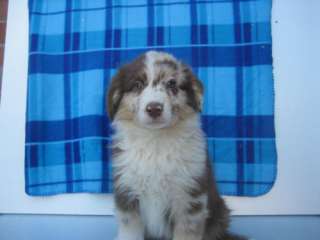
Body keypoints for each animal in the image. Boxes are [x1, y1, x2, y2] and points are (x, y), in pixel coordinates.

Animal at [107, 51, 245, 240]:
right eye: (137, 85)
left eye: (171, 84)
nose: (154, 108)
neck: (156, 142)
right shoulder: (127, 192)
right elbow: (130, 231)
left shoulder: (189, 198)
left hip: (220, 214)